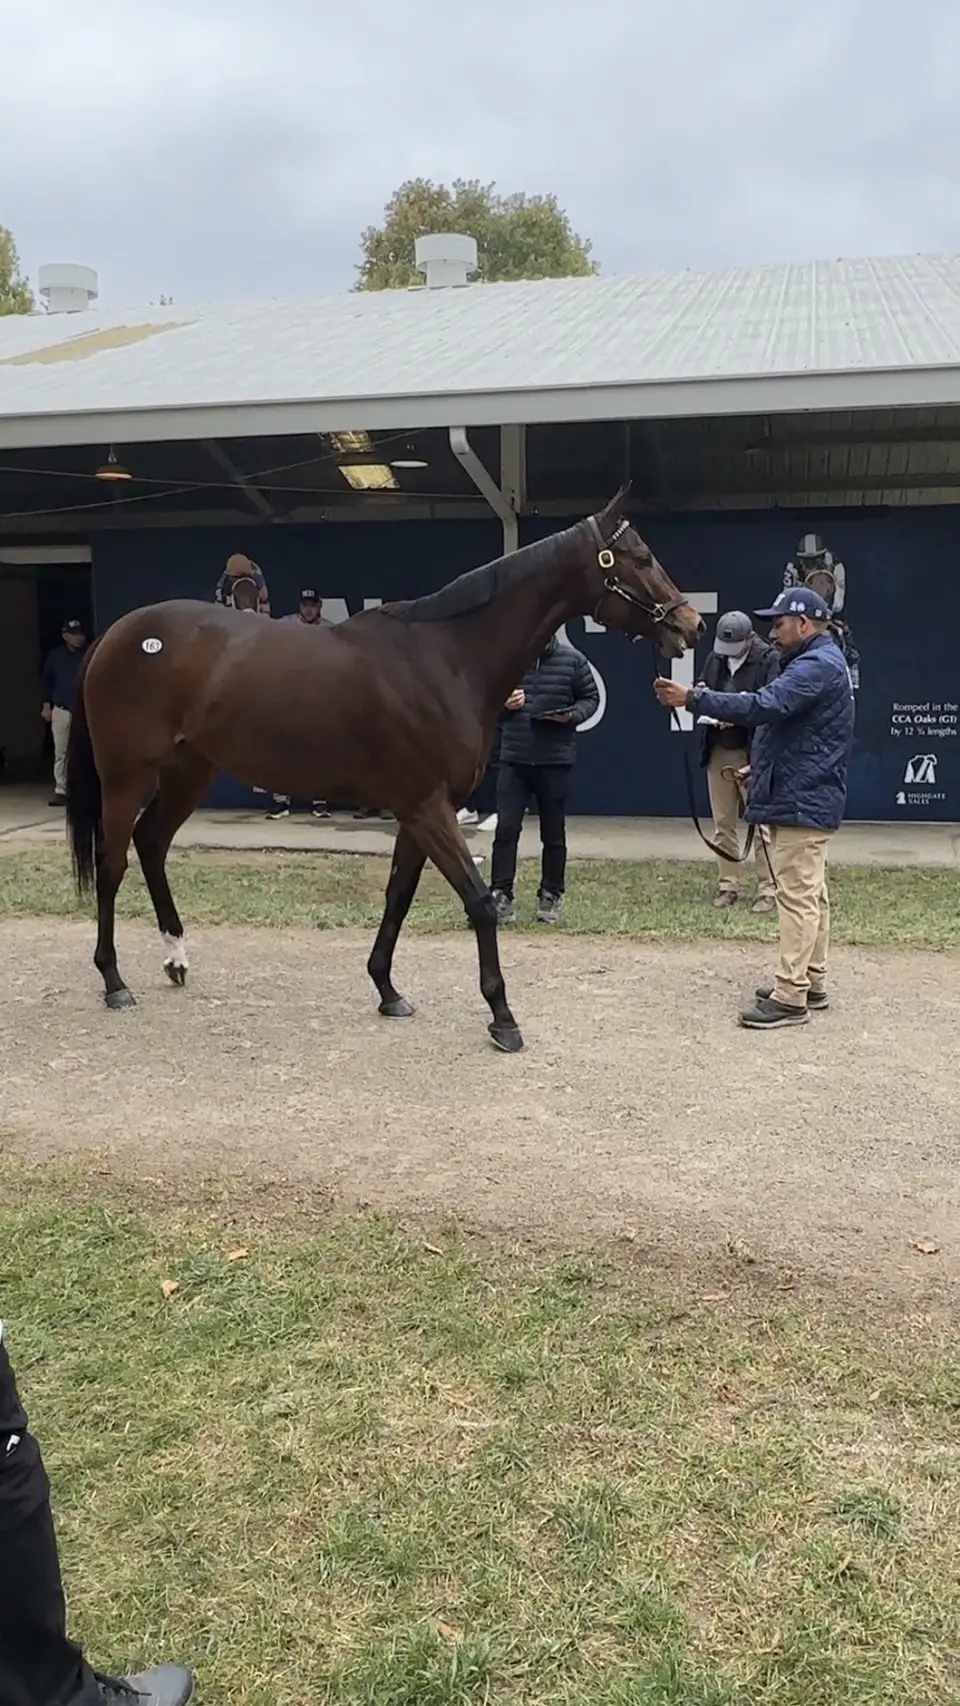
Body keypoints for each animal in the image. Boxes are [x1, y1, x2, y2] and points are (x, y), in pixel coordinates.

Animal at [65, 486, 703, 1052]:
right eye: (641, 557)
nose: (691, 624)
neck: (446, 657)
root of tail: (115, 635)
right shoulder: (427, 807)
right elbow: (478, 903)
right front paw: (502, 1017)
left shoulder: (418, 810)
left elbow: (399, 893)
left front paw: (387, 989)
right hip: (125, 774)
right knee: (113, 860)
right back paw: (113, 980)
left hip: (189, 771)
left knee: (151, 843)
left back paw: (175, 957)